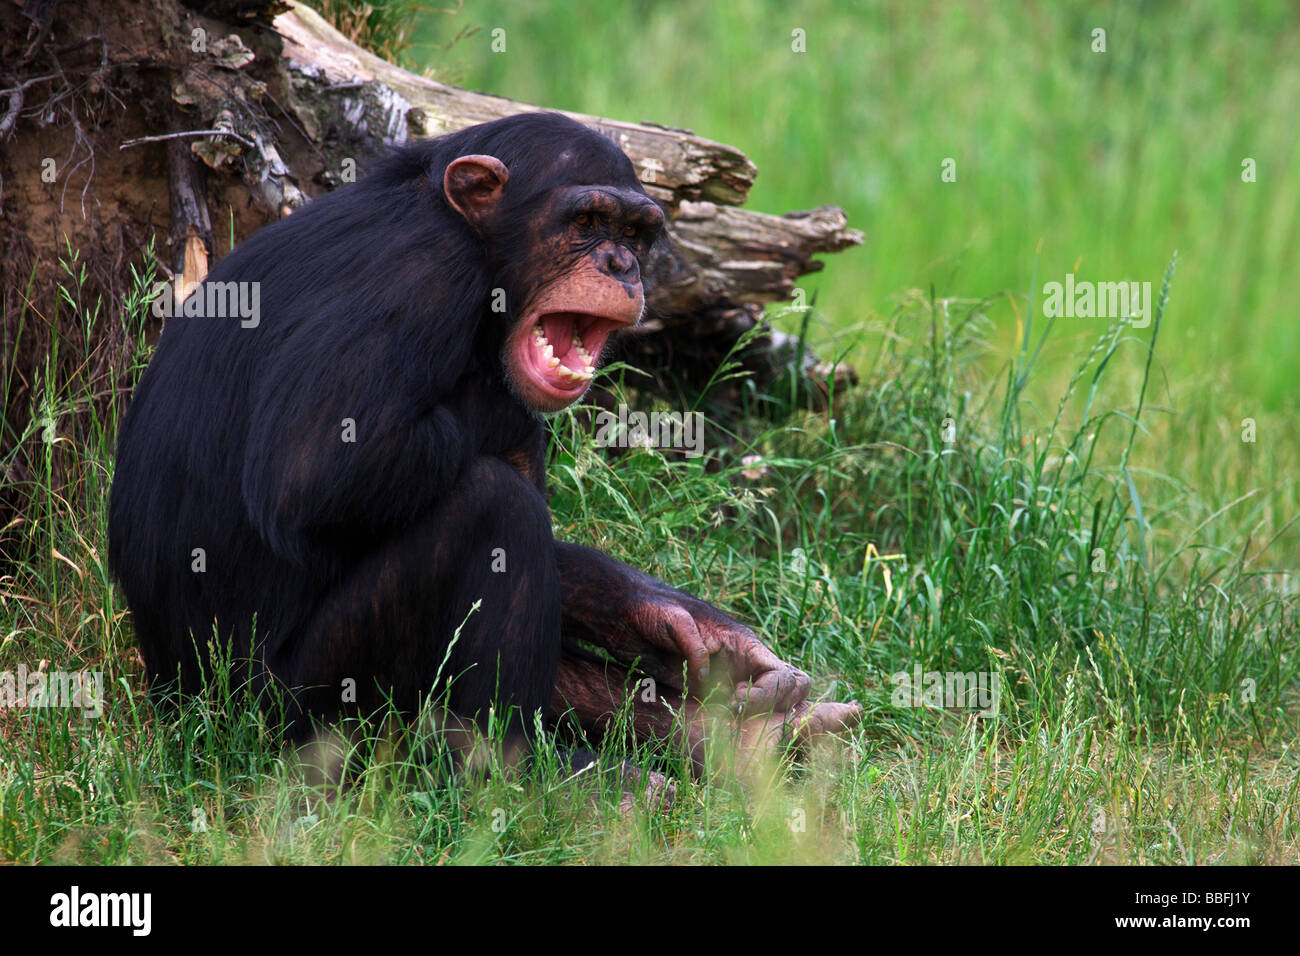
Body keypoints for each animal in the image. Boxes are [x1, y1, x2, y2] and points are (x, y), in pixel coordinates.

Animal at [109, 110, 863, 770]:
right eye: (586, 223)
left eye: (637, 231)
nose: (621, 264)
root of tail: (174, 704)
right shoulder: (424, 272)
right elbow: (315, 464)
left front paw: (680, 624)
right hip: (287, 711)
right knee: (491, 505)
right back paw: (542, 778)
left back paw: (739, 739)